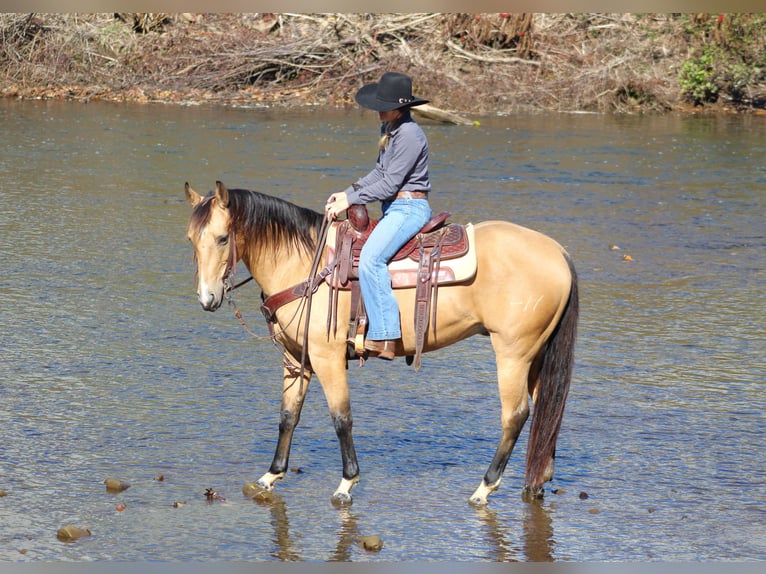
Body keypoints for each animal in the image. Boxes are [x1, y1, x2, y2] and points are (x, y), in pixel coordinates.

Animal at [186, 182, 580, 506]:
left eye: (223, 238)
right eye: (191, 239)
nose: (207, 299)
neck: (305, 265)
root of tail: (558, 252)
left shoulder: (327, 357)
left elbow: (341, 417)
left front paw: (347, 482)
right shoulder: (297, 360)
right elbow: (287, 416)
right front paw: (270, 475)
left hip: (513, 353)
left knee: (515, 415)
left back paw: (484, 487)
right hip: (536, 353)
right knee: (547, 408)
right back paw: (537, 480)